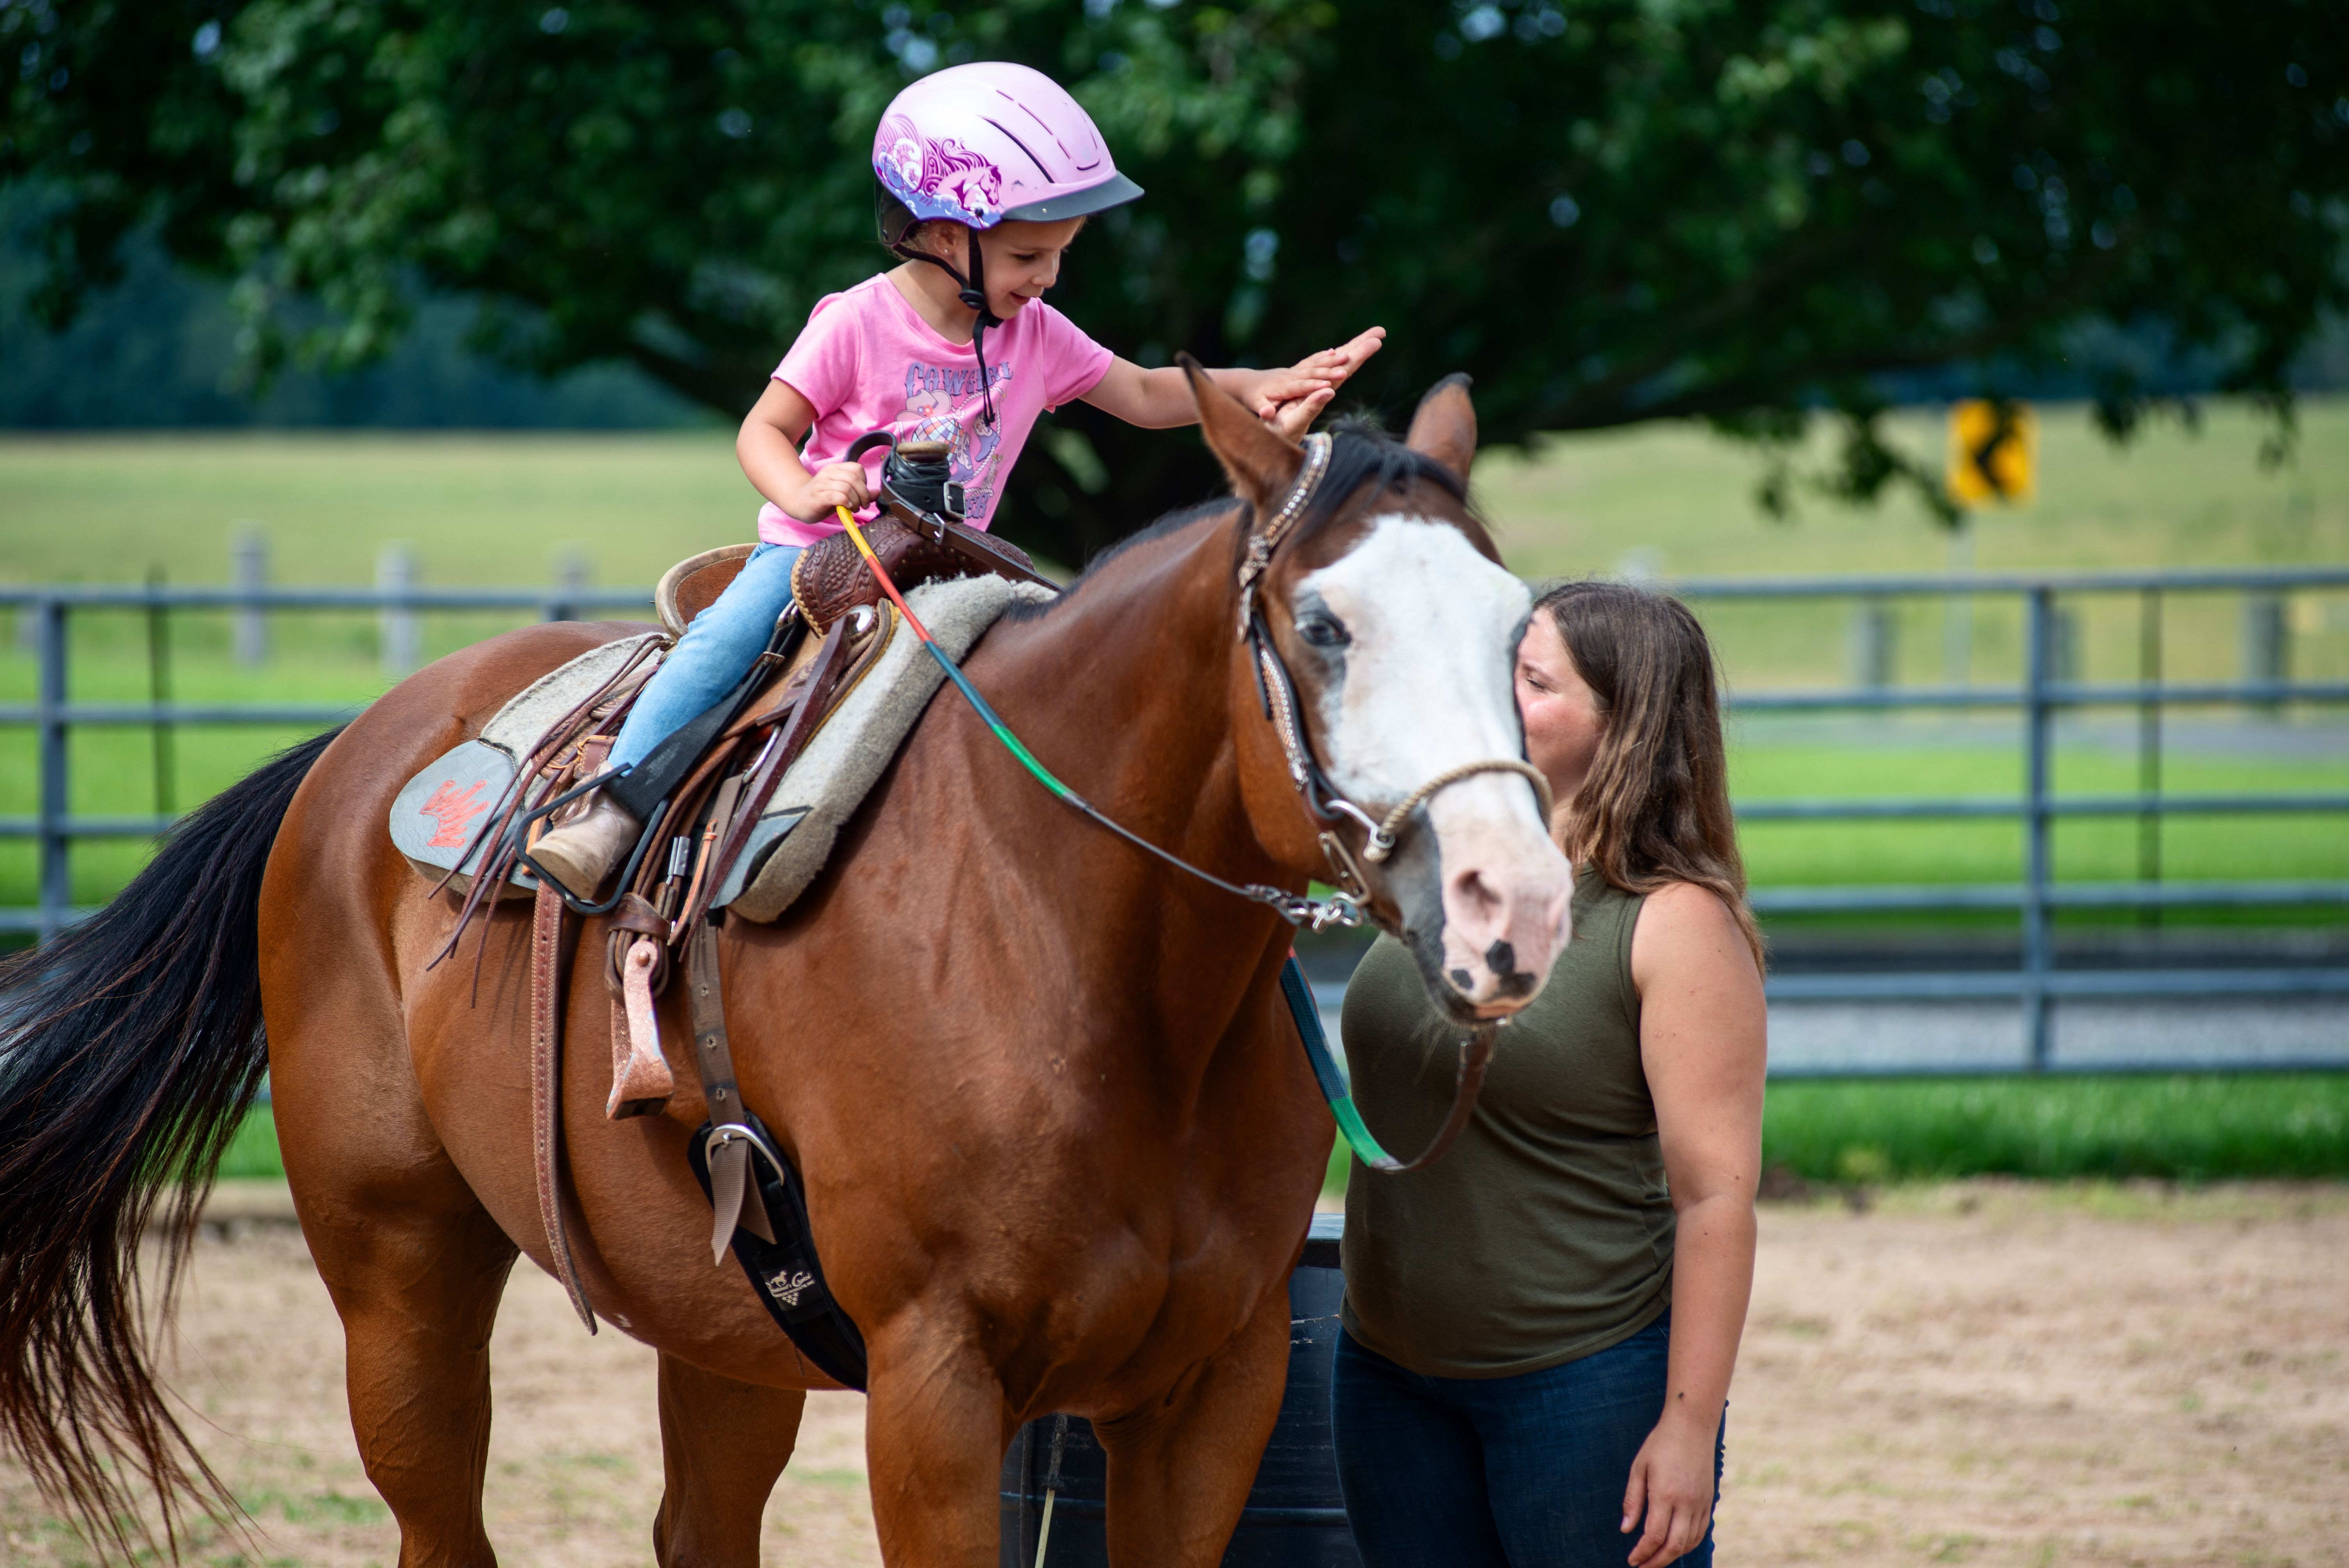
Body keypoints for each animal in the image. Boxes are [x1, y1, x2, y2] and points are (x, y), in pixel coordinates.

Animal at [0, 369, 1573, 1566]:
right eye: (1323, 626)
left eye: (1515, 627)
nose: (1516, 902)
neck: (1078, 947)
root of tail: (350, 755)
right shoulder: (936, 1389)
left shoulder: (1215, 1389)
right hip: (399, 1275)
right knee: (438, 1518)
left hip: (719, 1333)